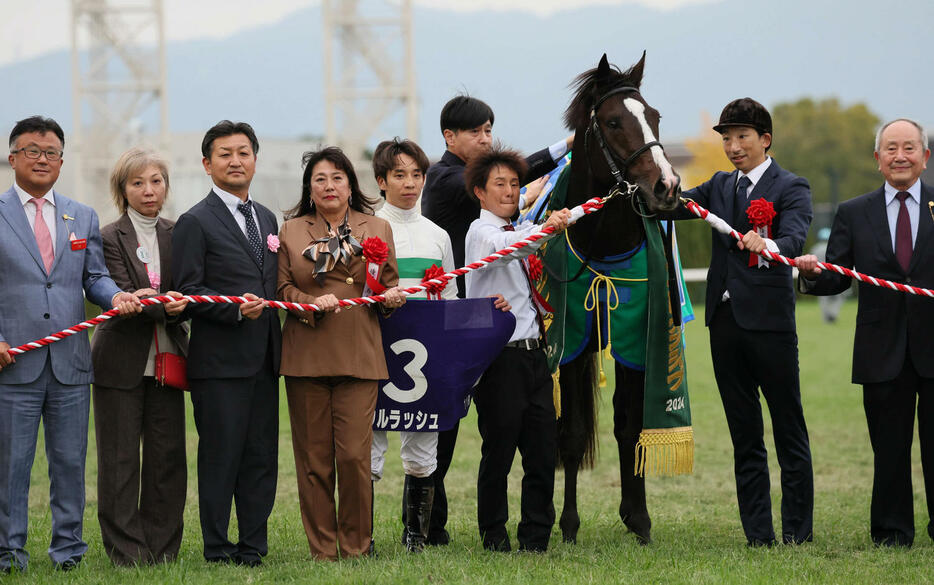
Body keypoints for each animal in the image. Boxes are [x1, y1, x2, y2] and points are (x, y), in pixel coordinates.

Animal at [552, 52, 684, 544]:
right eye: (612, 121)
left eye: (655, 116)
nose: (667, 186)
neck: (604, 246)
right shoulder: (571, 345)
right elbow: (571, 434)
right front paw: (569, 524)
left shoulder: (636, 341)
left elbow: (629, 428)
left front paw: (638, 517)